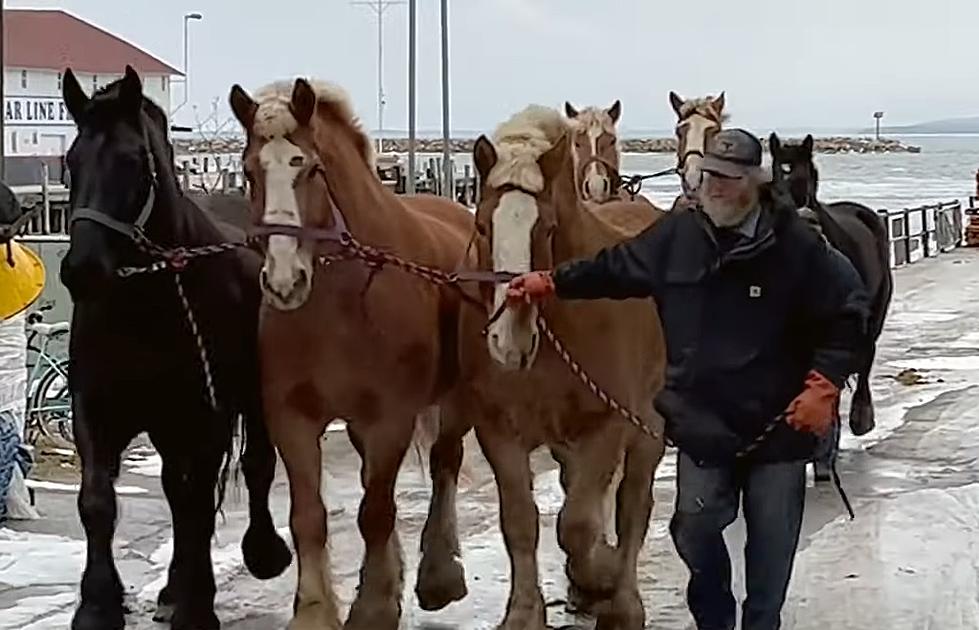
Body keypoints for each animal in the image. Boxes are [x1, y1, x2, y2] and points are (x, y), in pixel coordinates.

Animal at [59, 65, 290, 630]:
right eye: (72, 162)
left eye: (132, 161)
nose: (81, 269)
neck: (145, 305)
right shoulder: (95, 412)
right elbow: (97, 502)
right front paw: (97, 605)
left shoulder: (204, 419)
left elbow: (197, 504)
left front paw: (197, 604)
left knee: (253, 467)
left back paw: (260, 552)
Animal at [227, 79, 478, 630]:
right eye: (249, 170)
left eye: (310, 168)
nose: (284, 281)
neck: (340, 304)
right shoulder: (293, 418)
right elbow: (309, 516)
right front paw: (314, 610)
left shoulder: (391, 419)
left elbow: (376, 511)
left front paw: (374, 608)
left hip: (456, 399)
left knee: (445, 463)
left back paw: (439, 574)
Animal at [424, 106, 668, 628]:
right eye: (482, 226)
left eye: (548, 229)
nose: (509, 340)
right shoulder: (498, 428)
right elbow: (520, 521)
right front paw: (523, 611)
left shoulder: (606, 424)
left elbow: (578, 525)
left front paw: (600, 575)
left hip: (649, 427)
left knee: (633, 503)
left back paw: (621, 600)